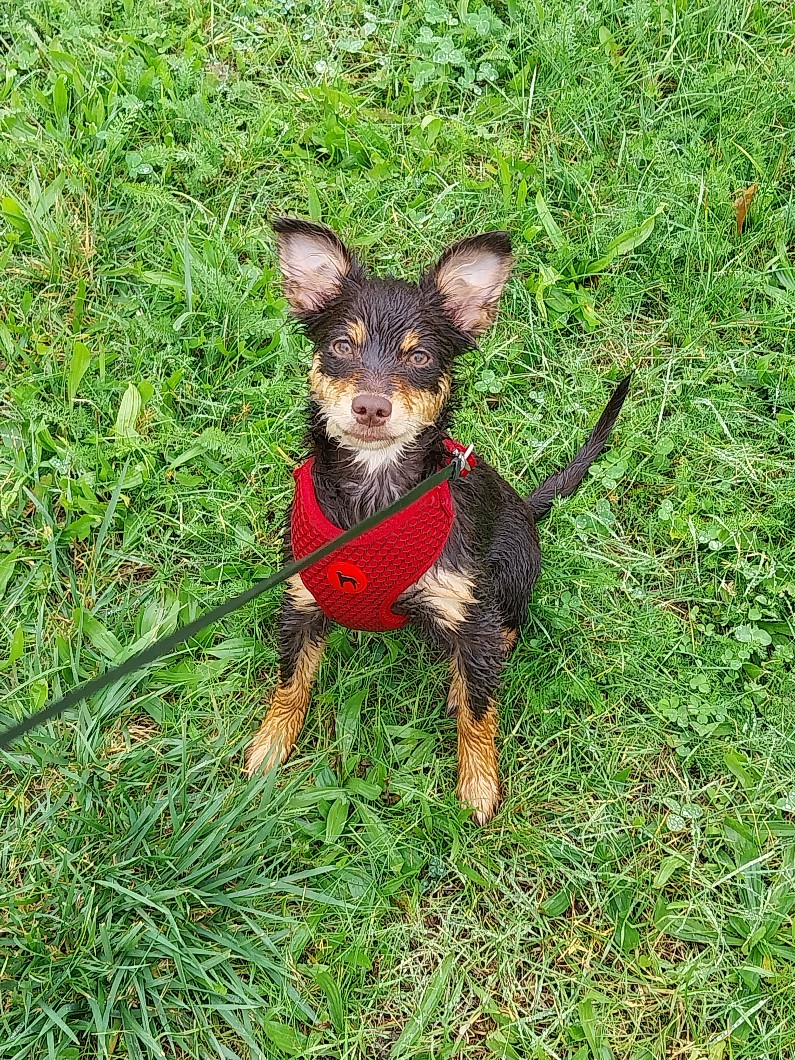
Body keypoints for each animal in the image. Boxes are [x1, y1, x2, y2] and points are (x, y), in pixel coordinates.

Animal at [246, 218, 630, 823]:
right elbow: (290, 681)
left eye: (421, 358)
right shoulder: (301, 604)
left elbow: (479, 711)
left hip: (511, 570)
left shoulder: (467, 608)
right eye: (339, 346)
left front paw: (479, 783)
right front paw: (270, 745)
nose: (371, 407)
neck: (375, 495)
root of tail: (527, 505)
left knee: (505, 635)